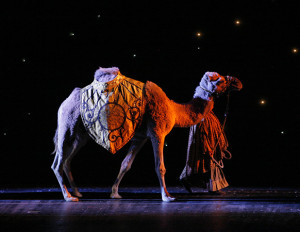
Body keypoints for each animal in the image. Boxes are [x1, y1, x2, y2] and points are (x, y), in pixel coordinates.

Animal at [51, 67, 241, 201]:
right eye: (220, 79)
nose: (238, 82)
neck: (173, 110)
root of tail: (64, 102)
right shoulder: (158, 132)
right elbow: (160, 166)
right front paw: (167, 196)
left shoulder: (140, 136)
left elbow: (126, 163)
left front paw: (114, 193)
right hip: (67, 125)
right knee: (57, 163)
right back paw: (69, 197)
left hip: (80, 135)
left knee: (67, 160)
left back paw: (77, 192)